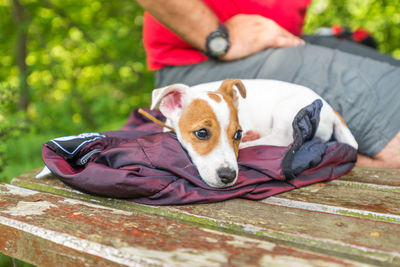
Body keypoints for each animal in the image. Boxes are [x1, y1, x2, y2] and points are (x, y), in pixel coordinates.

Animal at [152, 79, 358, 188]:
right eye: (202, 133)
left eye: (237, 134)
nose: (228, 176)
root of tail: (331, 109)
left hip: (286, 110)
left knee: (282, 138)